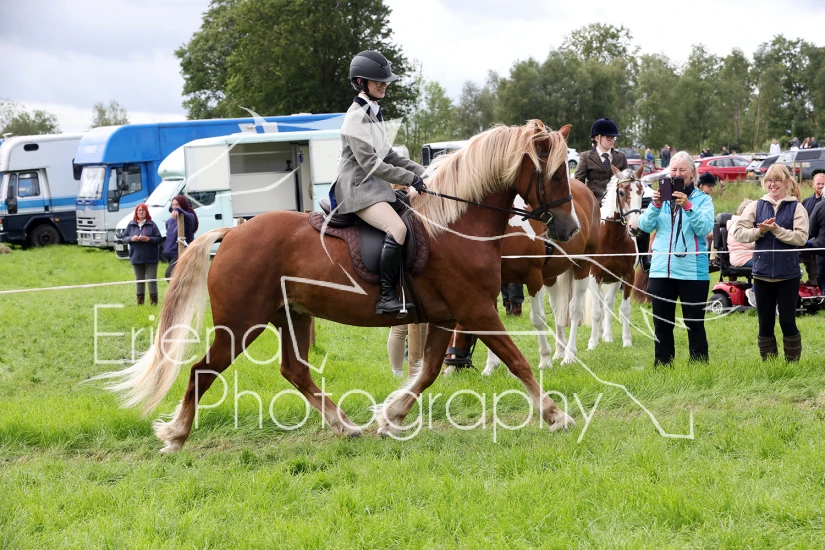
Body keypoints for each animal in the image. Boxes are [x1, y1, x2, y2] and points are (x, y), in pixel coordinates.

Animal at [95, 120, 579, 452]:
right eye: (555, 174)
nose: (570, 229)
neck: (456, 225)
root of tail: (232, 232)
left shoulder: (447, 315)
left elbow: (426, 373)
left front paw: (390, 417)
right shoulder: (476, 308)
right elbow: (518, 362)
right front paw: (557, 416)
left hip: (291, 317)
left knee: (294, 371)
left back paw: (345, 426)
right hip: (241, 324)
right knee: (202, 371)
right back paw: (176, 435)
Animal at [586, 165, 645, 350]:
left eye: (641, 192)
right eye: (621, 192)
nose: (634, 228)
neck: (612, 239)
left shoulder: (626, 276)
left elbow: (624, 309)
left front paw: (627, 340)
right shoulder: (594, 274)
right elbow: (595, 311)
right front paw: (592, 343)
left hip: (613, 281)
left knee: (607, 303)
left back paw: (606, 335)